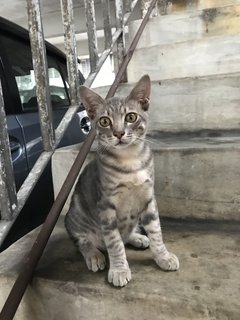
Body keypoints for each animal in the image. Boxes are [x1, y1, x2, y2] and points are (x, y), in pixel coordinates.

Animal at [64, 75, 179, 288]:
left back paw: (137, 237)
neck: (130, 160)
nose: (118, 133)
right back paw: (93, 254)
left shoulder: (148, 199)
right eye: (104, 121)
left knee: (127, 234)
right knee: (82, 240)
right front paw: (119, 269)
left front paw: (163, 256)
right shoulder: (106, 207)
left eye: (131, 117)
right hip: (75, 216)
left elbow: (156, 231)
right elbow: (114, 242)